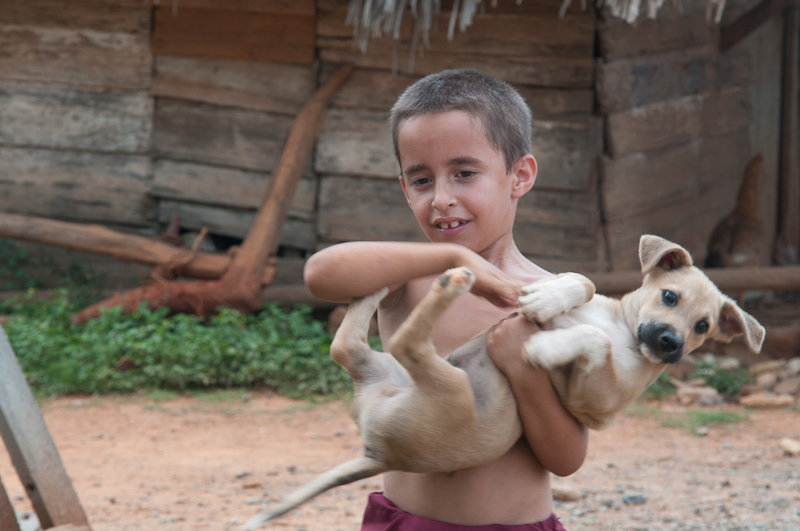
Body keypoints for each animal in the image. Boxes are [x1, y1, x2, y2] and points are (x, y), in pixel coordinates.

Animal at [242, 236, 764, 528]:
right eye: (669, 296)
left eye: (704, 327)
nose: (670, 345)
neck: (625, 330)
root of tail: (377, 451)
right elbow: (585, 283)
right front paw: (549, 296)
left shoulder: (595, 406)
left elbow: (591, 339)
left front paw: (544, 347)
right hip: (394, 370)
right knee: (346, 344)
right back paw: (383, 285)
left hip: (449, 391)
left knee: (395, 343)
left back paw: (447, 284)